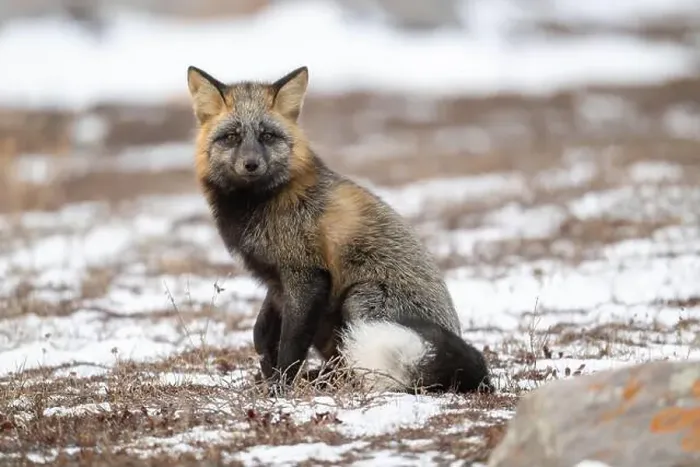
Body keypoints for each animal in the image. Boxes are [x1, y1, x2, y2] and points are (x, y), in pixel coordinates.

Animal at [185, 64, 494, 395]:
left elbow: (290, 347)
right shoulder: (277, 282)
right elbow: (261, 332)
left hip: (360, 301)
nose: (251, 164)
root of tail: (483, 380)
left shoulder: (306, 277)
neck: (260, 204)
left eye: (267, 135)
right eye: (232, 136)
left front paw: (281, 389)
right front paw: (267, 370)